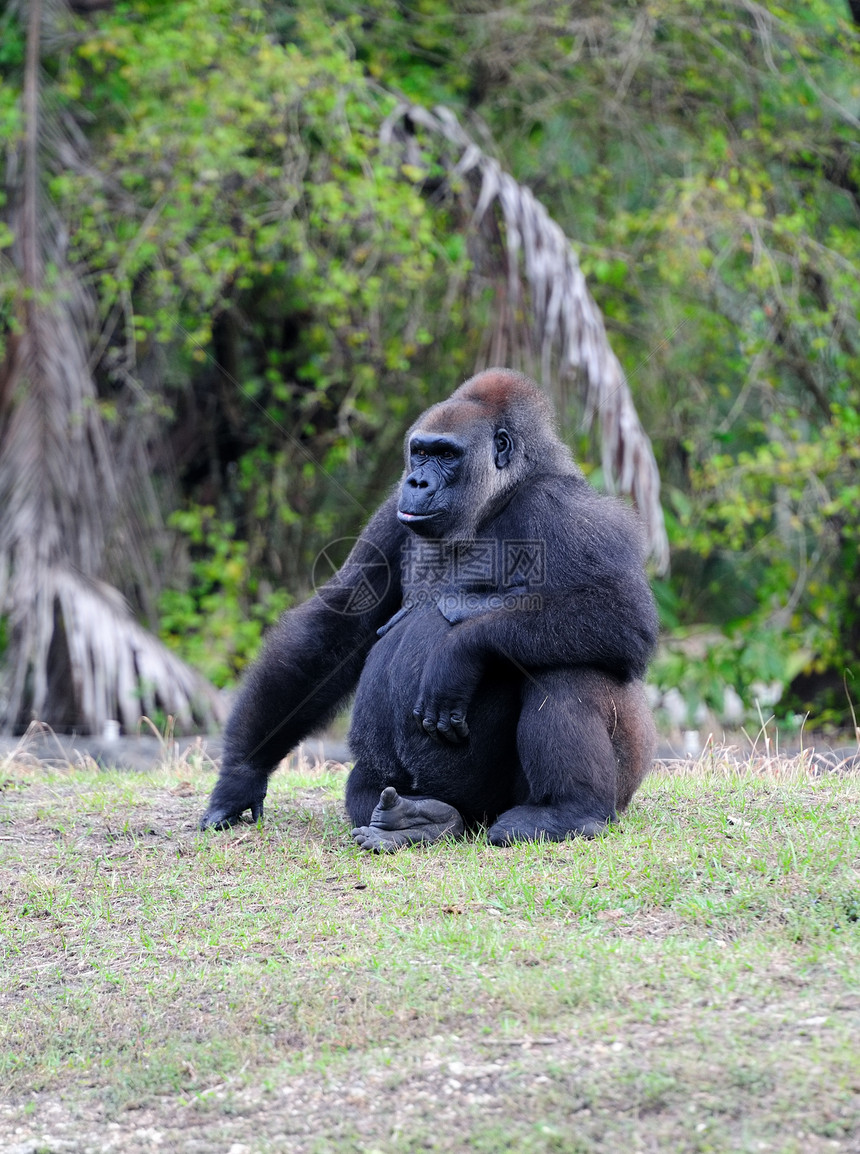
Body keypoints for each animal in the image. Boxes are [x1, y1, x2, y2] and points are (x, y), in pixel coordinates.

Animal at [200, 369, 655, 849]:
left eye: (446, 455)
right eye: (420, 452)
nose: (416, 482)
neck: (498, 497)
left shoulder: (562, 506)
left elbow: (621, 614)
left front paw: (458, 653)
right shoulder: (390, 513)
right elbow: (334, 628)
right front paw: (240, 776)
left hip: (616, 784)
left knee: (568, 661)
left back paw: (568, 812)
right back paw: (422, 820)